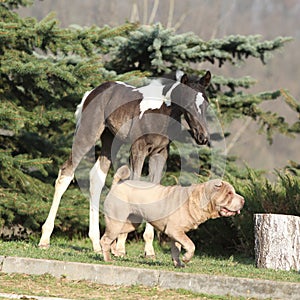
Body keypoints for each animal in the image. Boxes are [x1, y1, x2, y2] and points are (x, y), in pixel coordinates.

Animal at [101, 166, 244, 268]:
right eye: (229, 193)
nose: (243, 200)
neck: (199, 199)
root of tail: (116, 185)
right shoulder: (175, 231)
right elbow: (191, 245)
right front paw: (186, 258)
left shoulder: (176, 234)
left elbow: (176, 249)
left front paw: (178, 264)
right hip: (117, 221)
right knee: (105, 239)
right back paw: (108, 259)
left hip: (129, 224)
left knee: (111, 238)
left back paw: (115, 252)